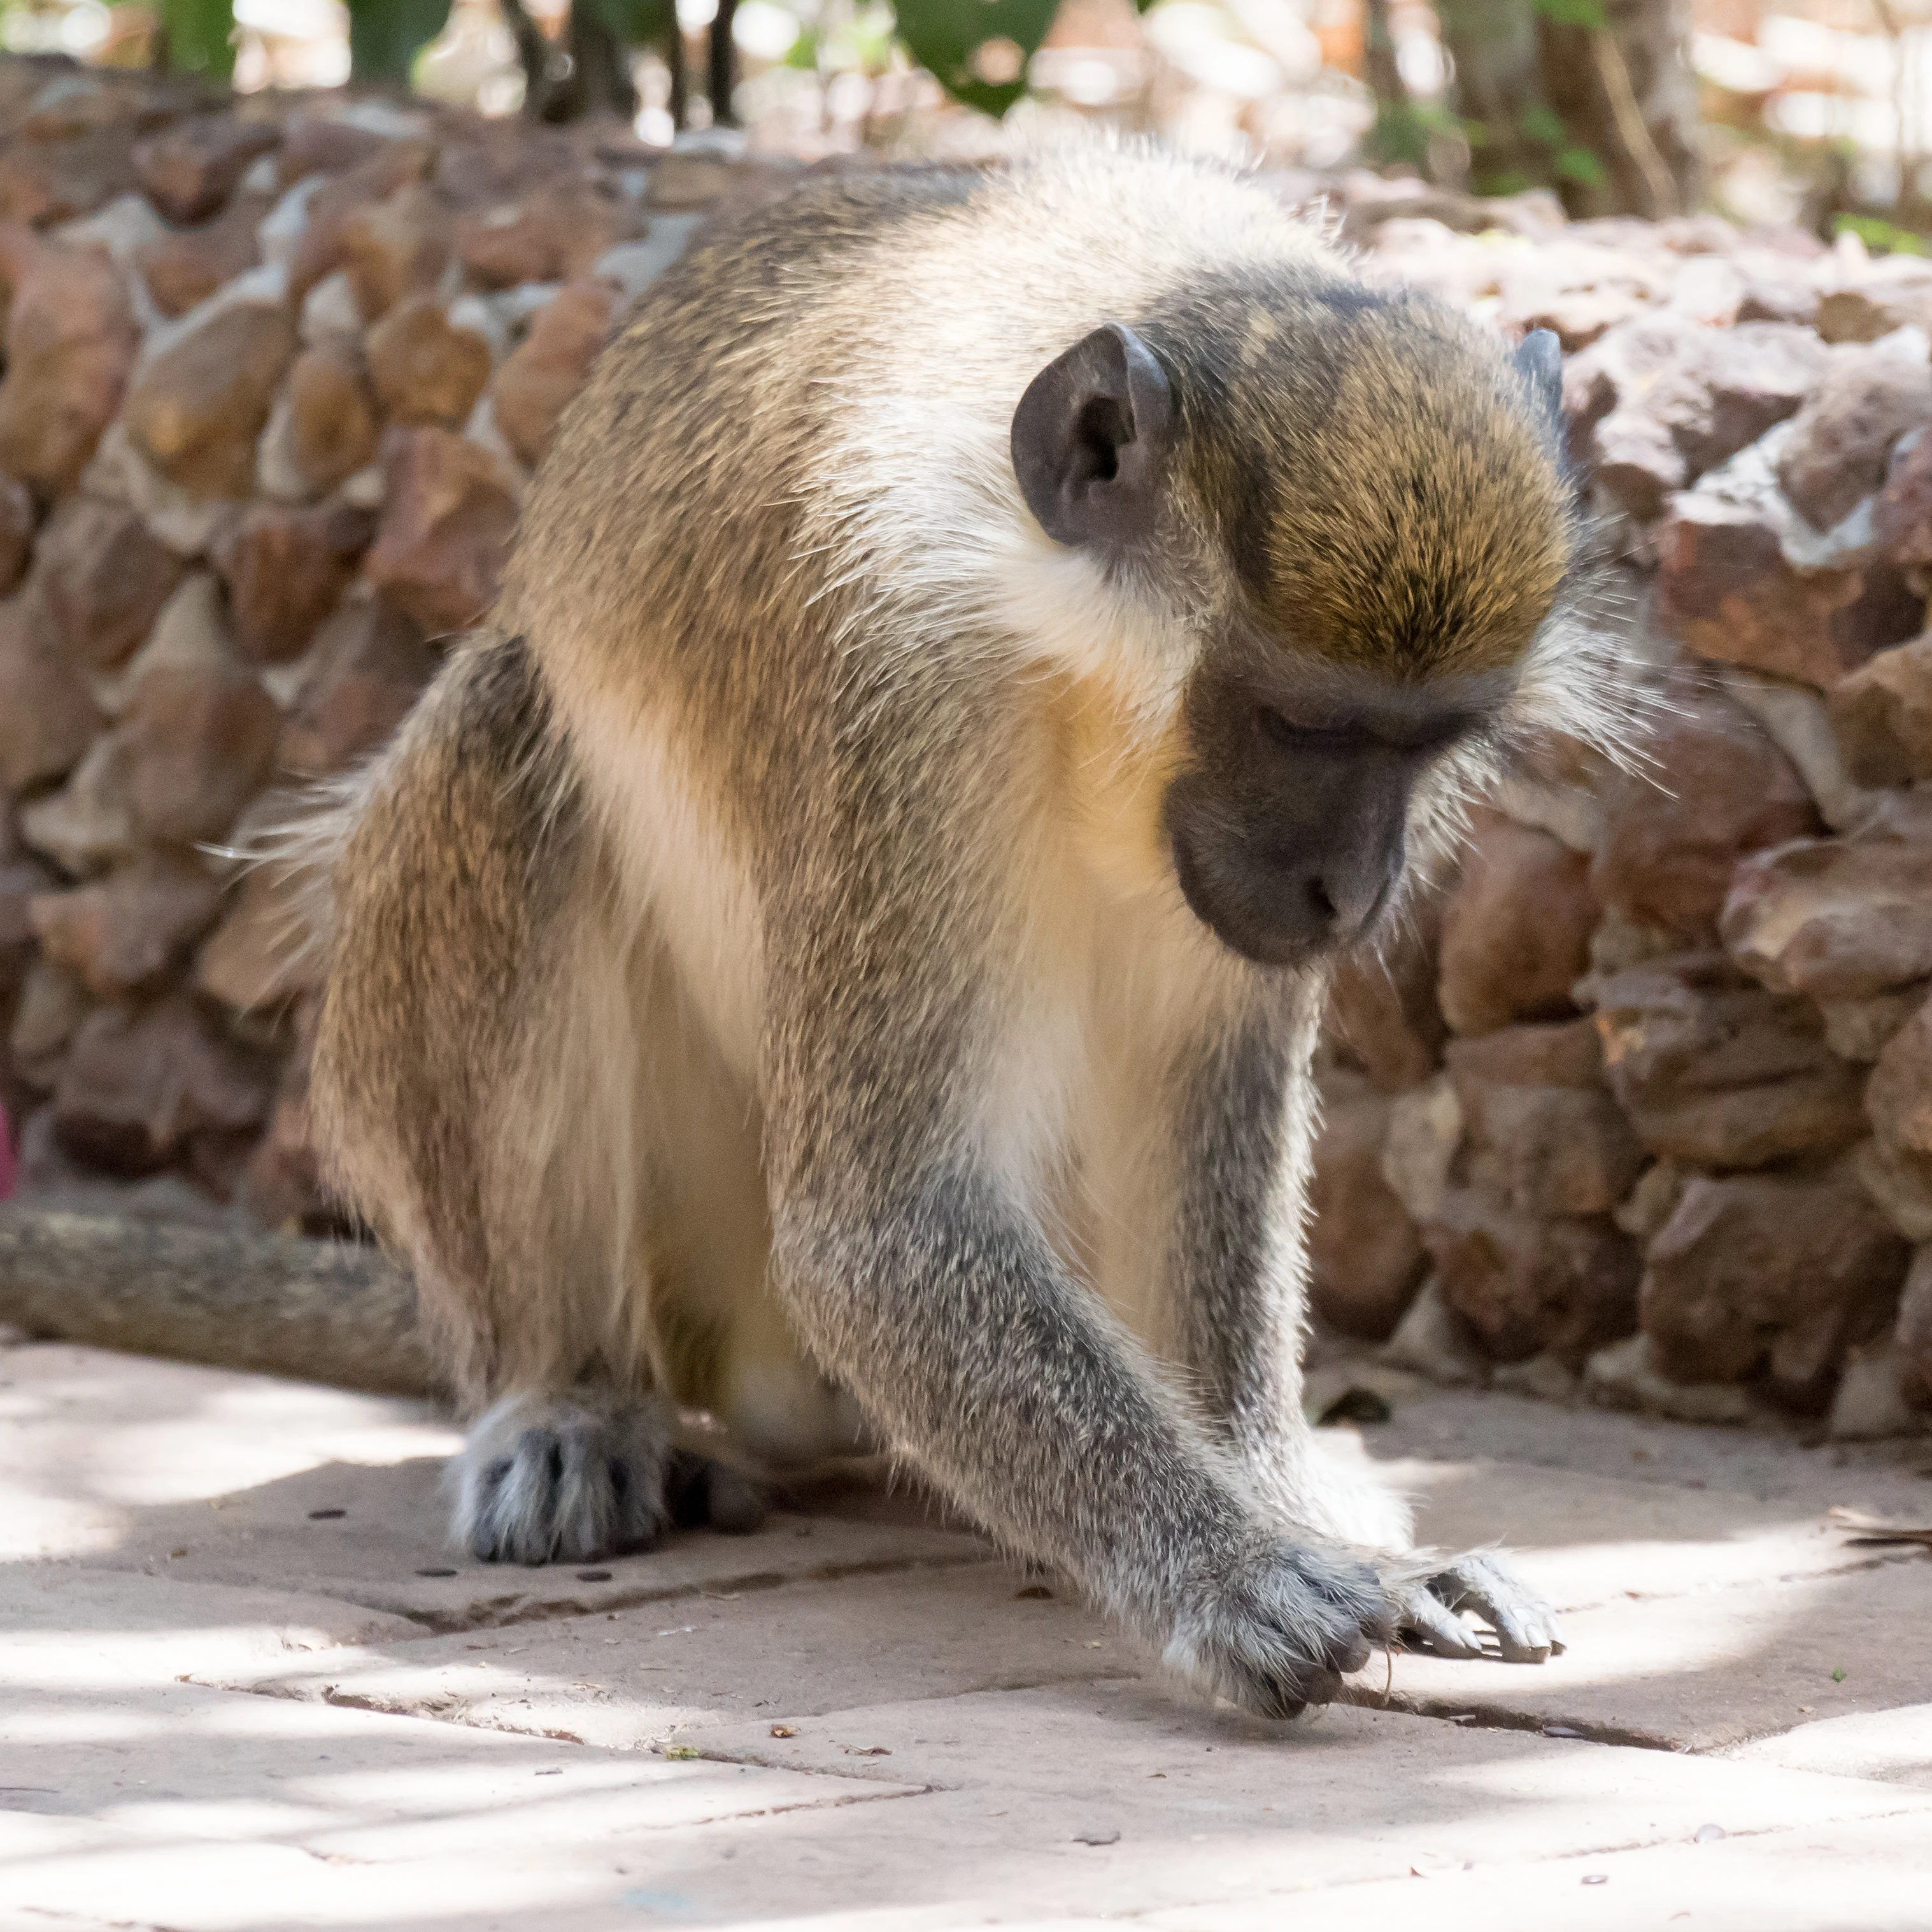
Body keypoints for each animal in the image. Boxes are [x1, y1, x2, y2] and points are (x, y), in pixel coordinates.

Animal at [294, 145, 1625, 1719]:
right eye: (1300, 724)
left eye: (1430, 741)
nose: (1349, 892)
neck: (1068, 665)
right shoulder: (903, 693)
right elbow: (880, 1229)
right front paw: (1235, 1569)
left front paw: (1305, 1515)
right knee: (503, 739)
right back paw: (562, 1395)